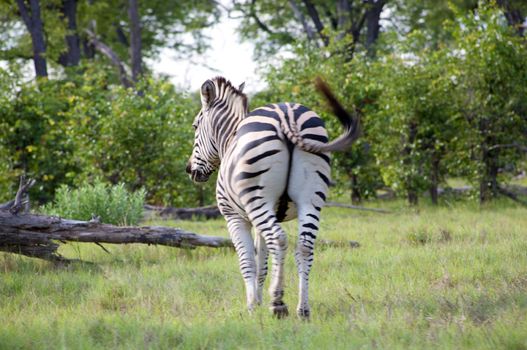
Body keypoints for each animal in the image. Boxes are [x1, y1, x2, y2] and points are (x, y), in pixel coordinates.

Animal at [186, 76, 358, 320]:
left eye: (195, 126)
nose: (189, 170)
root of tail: (286, 115)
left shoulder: (234, 217)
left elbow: (247, 260)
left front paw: (251, 305)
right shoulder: (260, 218)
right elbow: (262, 263)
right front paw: (257, 300)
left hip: (258, 199)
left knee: (279, 239)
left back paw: (278, 303)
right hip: (310, 199)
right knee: (304, 246)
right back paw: (303, 309)